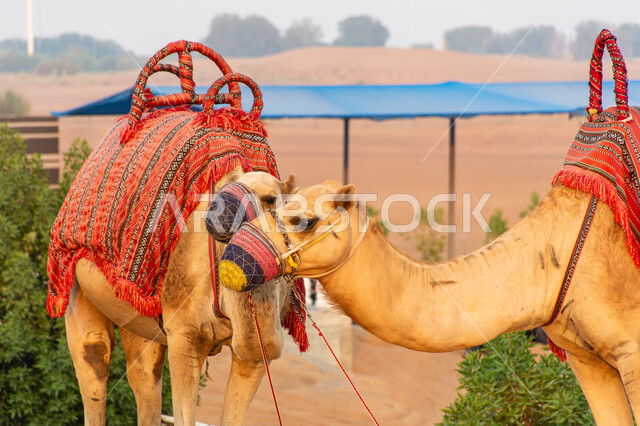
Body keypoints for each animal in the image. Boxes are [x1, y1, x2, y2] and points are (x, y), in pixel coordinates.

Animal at [65, 169, 297, 426]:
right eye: (226, 189)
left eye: (270, 199)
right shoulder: (184, 336)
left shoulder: (254, 358)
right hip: (74, 282)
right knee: (94, 358)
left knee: (145, 375)